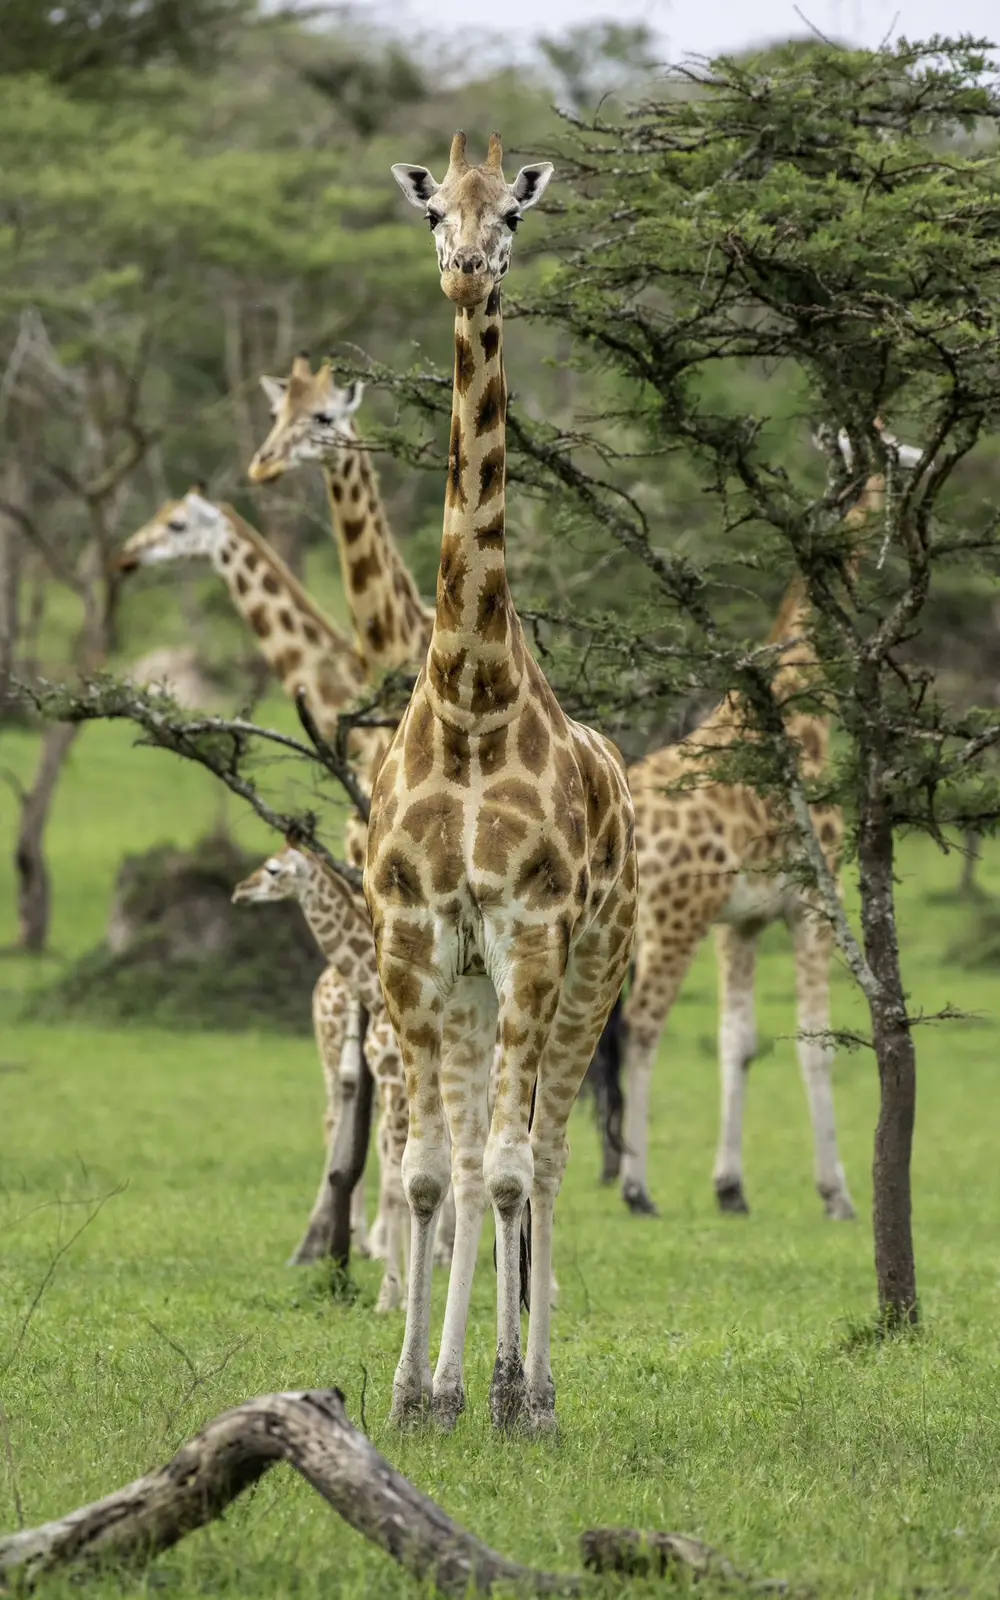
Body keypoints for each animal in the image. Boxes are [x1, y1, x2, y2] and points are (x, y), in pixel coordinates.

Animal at [232, 845, 413, 1312]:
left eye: (273, 869)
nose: (240, 890)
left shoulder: (395, 1082)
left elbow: (398, 1184)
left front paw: (391, 1295)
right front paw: (397, 1291)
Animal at [606, 436, 917, 1221]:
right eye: (892, 446)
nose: (917, 456)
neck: (802, 717)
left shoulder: (741, 921)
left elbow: (737, 1042)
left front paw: (730, 1186)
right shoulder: (812, 906)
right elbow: (814, 1043)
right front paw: (837, 1194)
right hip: (670, 919)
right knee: (639, 1029)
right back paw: (636, 1188)